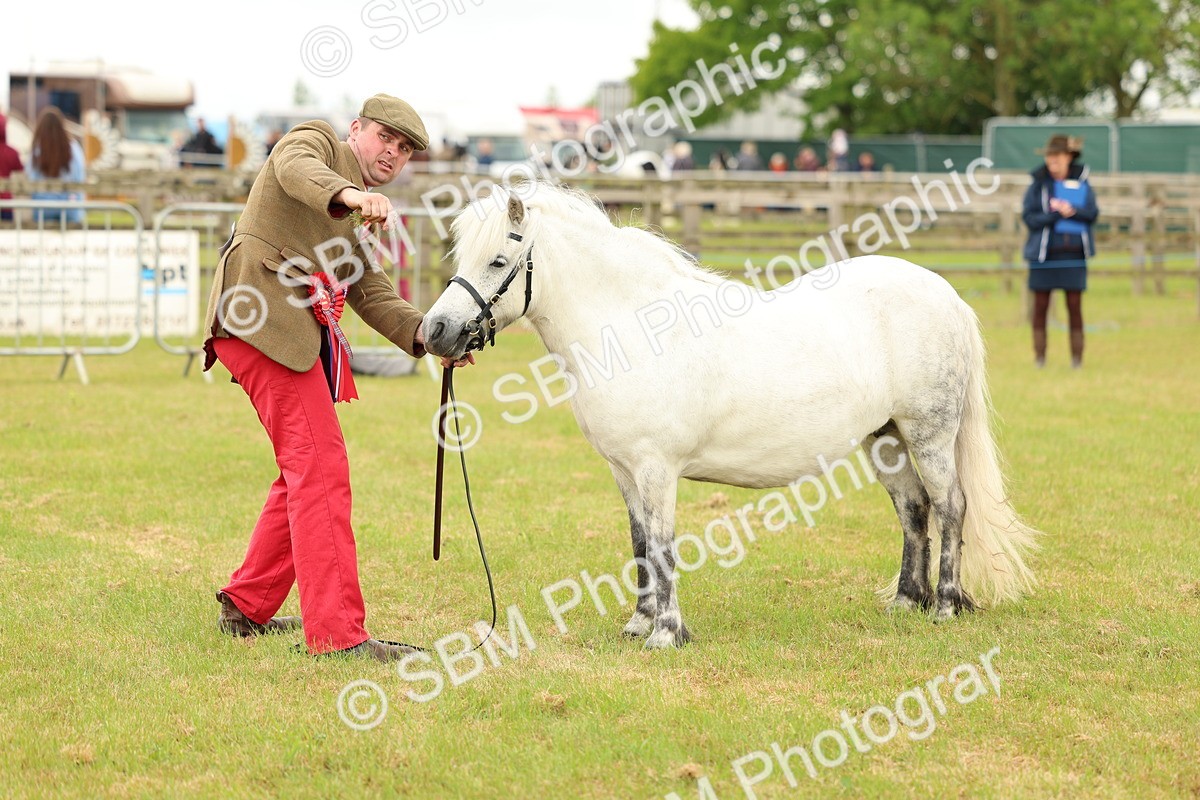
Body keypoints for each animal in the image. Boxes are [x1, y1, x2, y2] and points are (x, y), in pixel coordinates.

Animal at [422, 182, 1039, 649]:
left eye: (498, 260)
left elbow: (663, 545)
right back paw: (907, 604)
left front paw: (666, 634)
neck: (631, 329)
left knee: (950, 506)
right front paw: (638, 624)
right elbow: (640, 542)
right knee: (914, 510)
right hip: (884, 439)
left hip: (929, 433)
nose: (436, 332)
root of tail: (946, 295)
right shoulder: (624, 471)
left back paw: (946, 606)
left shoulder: (656, 469)